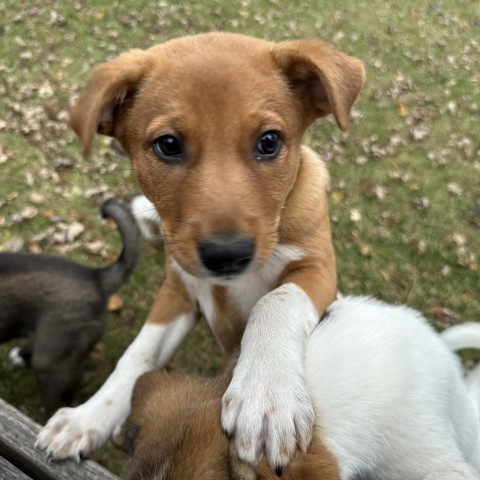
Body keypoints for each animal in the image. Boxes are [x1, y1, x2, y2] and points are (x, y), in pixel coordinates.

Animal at [36, 31, 364, 468]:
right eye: (168, 145)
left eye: (269, 141)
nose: (227, 254)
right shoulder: (178, 294)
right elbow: (137, 356)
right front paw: (87, 418)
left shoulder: (318, 268)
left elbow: (275, 300)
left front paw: (265, 397)